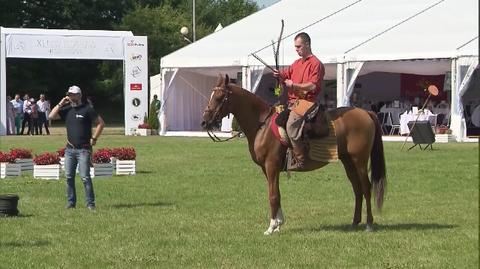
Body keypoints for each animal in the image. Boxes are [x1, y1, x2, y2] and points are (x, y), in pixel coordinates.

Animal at [200, 74, 386, 234]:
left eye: (219, 97)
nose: (204, 120)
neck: (262, 125)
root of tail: (366, 112)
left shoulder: (271, 166)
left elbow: (273, 196)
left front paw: (271, 227)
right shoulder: (267, 169)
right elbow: (277, 194)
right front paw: (278, 224)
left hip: (359, 161)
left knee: (366, 187)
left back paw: (369, 224)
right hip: (348, 162)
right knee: (357, 189)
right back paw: (355, 222)